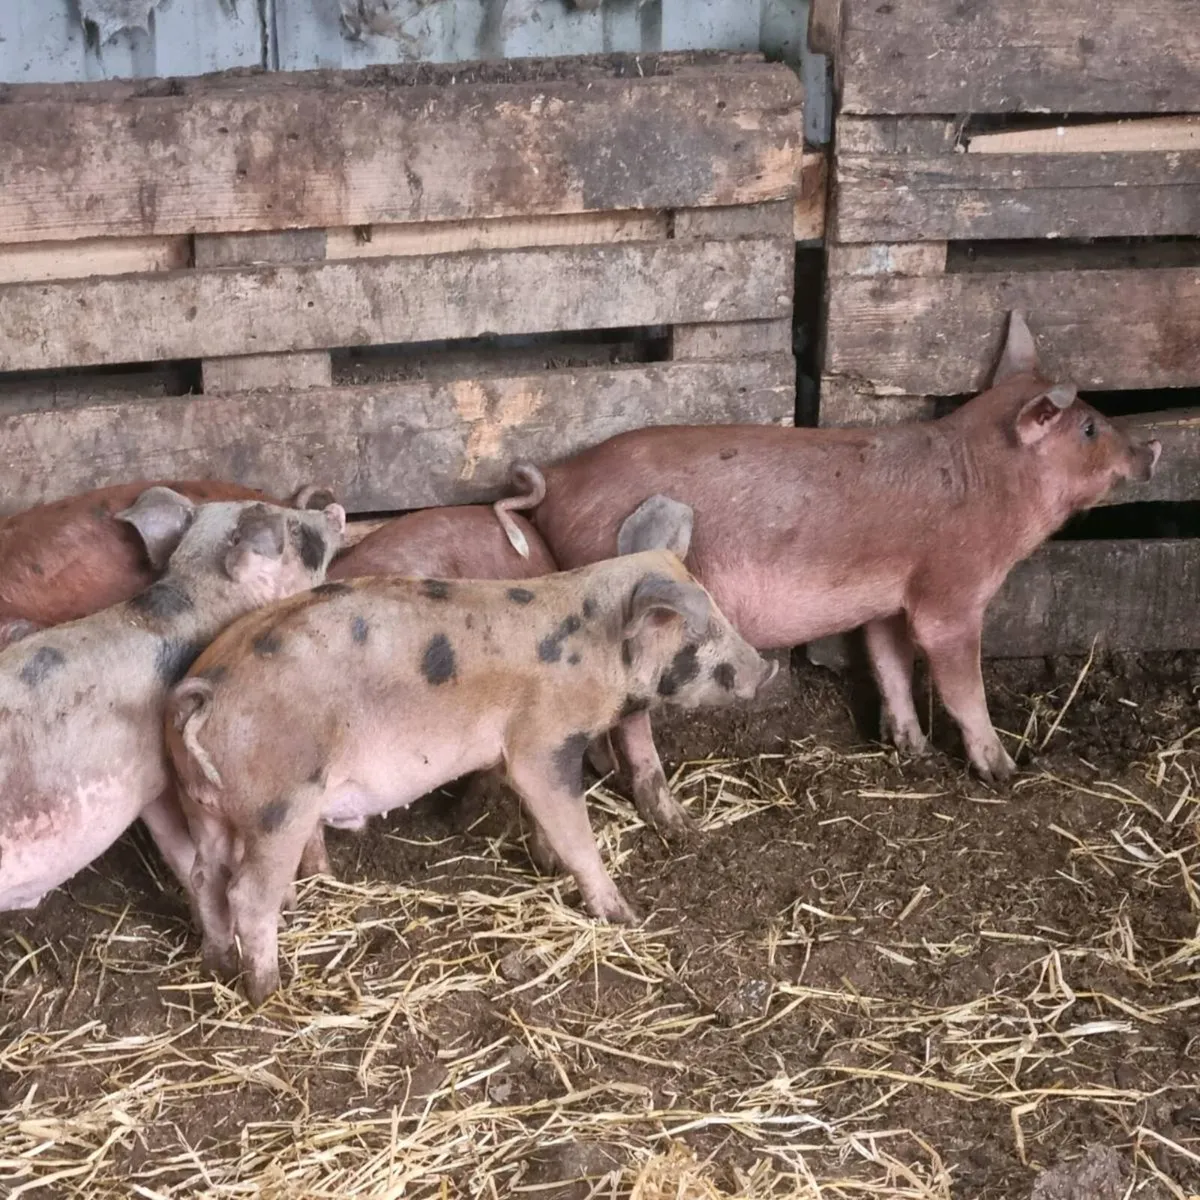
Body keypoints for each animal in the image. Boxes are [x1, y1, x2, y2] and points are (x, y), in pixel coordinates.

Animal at [166, 500, 774, 1004]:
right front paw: (625, 915)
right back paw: (269, 993)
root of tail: (207, 691)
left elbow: (537, 819)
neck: (595, 654)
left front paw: (539, 859)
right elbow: (573, 830)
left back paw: (218, 963)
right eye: (699, 635)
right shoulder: (543, 743)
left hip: (204, 804)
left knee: (203, 875)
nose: (765, 669)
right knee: (248, 894)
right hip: (280, 804)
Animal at [492, 310, 1161, 829]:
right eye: (1090, 426)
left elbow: (890, 664)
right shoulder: (952, 591)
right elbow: (960, 681)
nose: (1152, 445)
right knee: (632, 720)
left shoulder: (889, 601)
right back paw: (676, 820)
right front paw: (1005, 771)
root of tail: (561, 478)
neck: (990, 485)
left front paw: (914, 751)